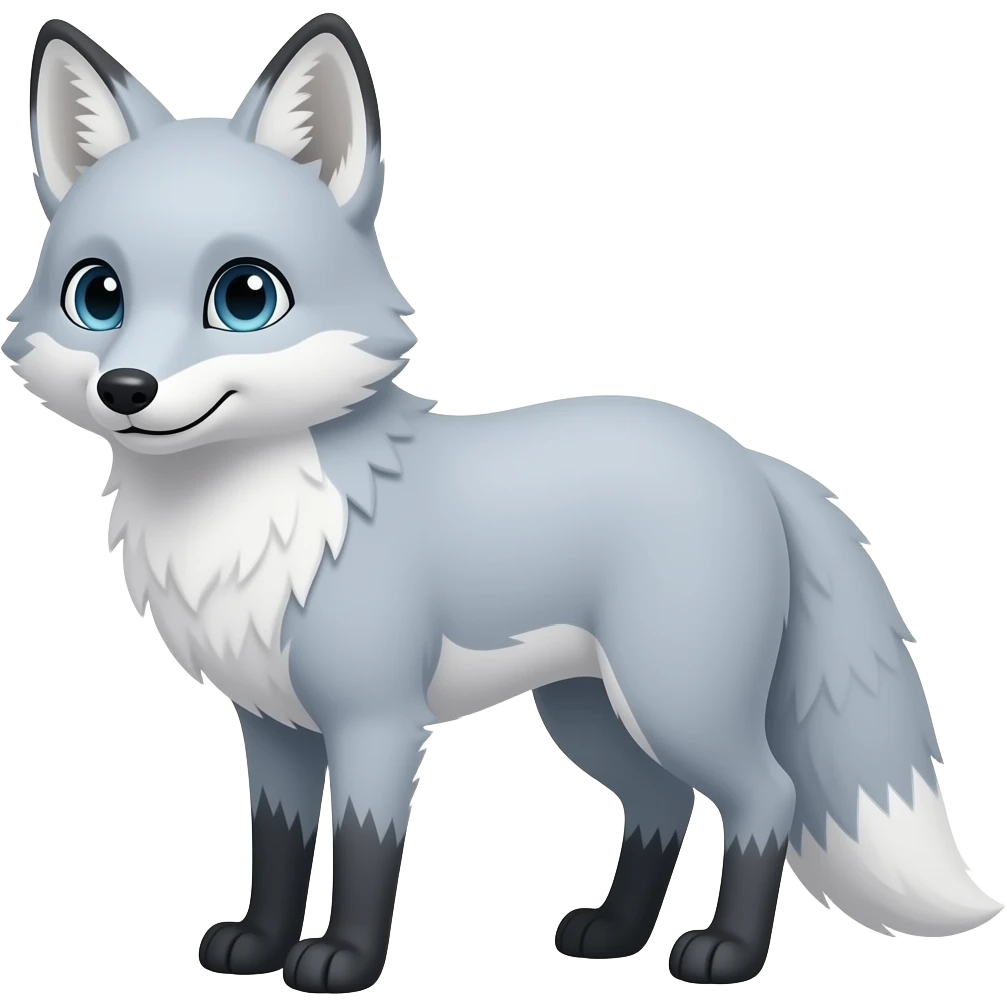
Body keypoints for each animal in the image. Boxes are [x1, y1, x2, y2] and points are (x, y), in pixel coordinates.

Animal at [6, 13, 1001, 994]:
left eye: (245, 296)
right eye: (97, 295)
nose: (126, 389)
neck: (248, 522)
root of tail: (747, 456)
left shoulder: (376, 716)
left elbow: (366, 847)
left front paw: (342, 961)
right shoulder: (273, 722)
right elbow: (276, 845)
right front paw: (257, 944)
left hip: (674, 697)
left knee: (767, 795)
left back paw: (725, 952)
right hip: (588, 710)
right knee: (660, 800)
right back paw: (612, 934)